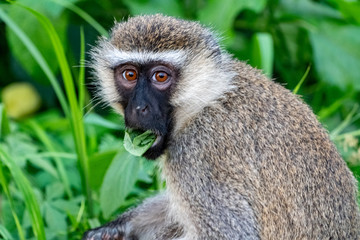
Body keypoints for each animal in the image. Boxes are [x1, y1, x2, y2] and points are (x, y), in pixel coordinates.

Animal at [82, 14, 360, 239]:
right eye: (129, 75)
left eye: (160, 76)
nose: (139, 107)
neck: (206, 100)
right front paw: (113, 228)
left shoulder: (198, 152)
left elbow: (230, 235)